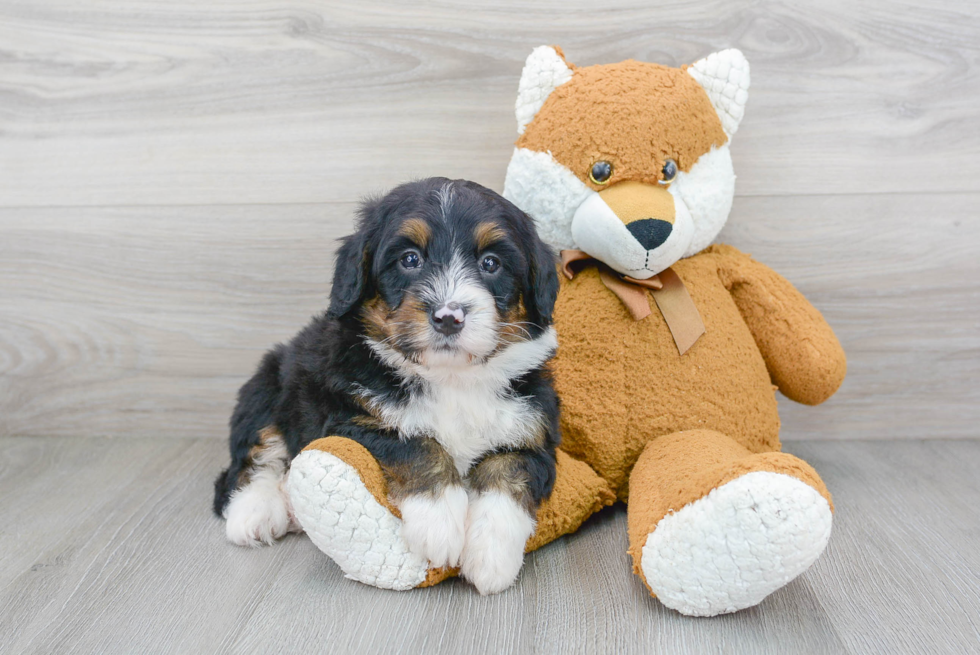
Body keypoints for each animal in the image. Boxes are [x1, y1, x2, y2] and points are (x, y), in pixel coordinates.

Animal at [215, 178, 564, 596]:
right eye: (410, 259)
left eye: (491, 263)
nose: (448, 316)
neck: (450, 378)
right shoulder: (352, 418)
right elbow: (417, 443)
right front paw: (439, 523)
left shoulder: (533, 429)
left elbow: (509, 469)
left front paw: (491, 556)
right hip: (268, 384)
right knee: (255, 459)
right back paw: (256, 513)